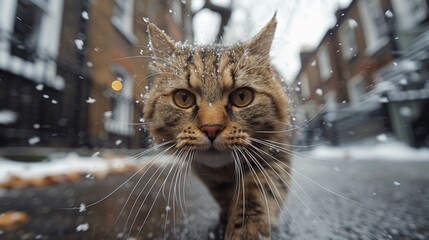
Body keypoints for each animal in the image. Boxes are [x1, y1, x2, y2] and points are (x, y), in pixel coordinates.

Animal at [144, 15, 290, 240]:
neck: (225, 170)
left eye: (242, 97)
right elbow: (223, 194)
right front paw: (227, 214)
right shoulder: (207, 173)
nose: (211, 128)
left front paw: (247, 230)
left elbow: (257, 193)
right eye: (183, 98)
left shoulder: (276, 155)